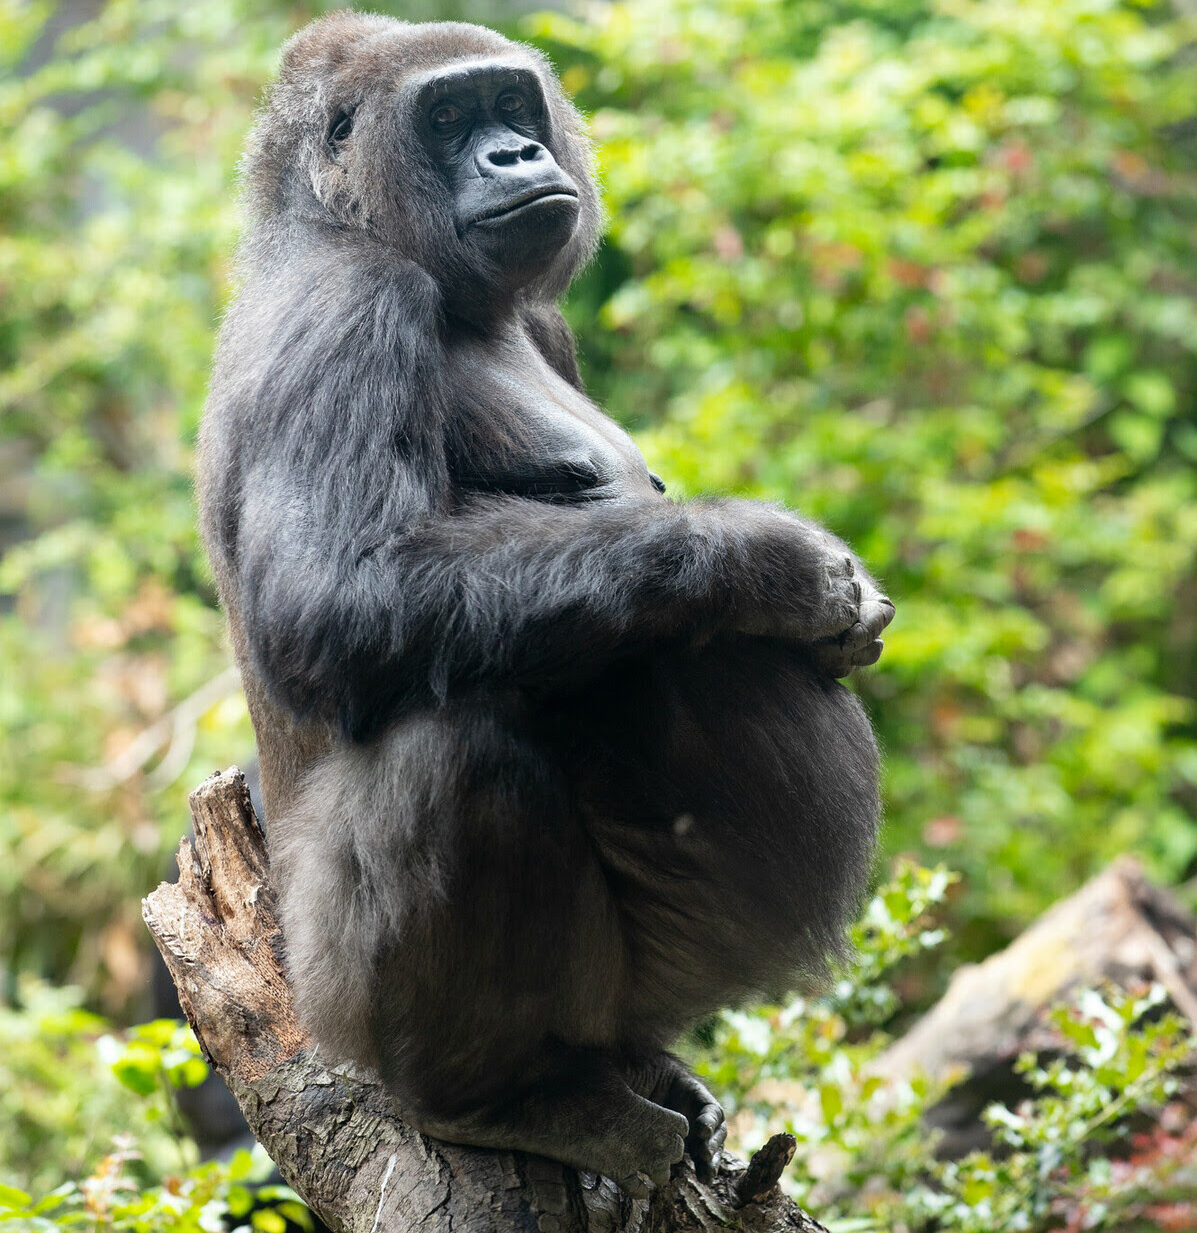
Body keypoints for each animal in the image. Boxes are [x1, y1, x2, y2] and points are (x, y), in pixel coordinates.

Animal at [197, 11, 893, 1195]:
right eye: (445, 117)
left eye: (512, 106)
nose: (516, 154)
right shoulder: (348, 307)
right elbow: (337, 600)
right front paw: (776, 565)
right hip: (334, 1009)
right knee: (455, 749)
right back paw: (501, 1098)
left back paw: (639, 1069)